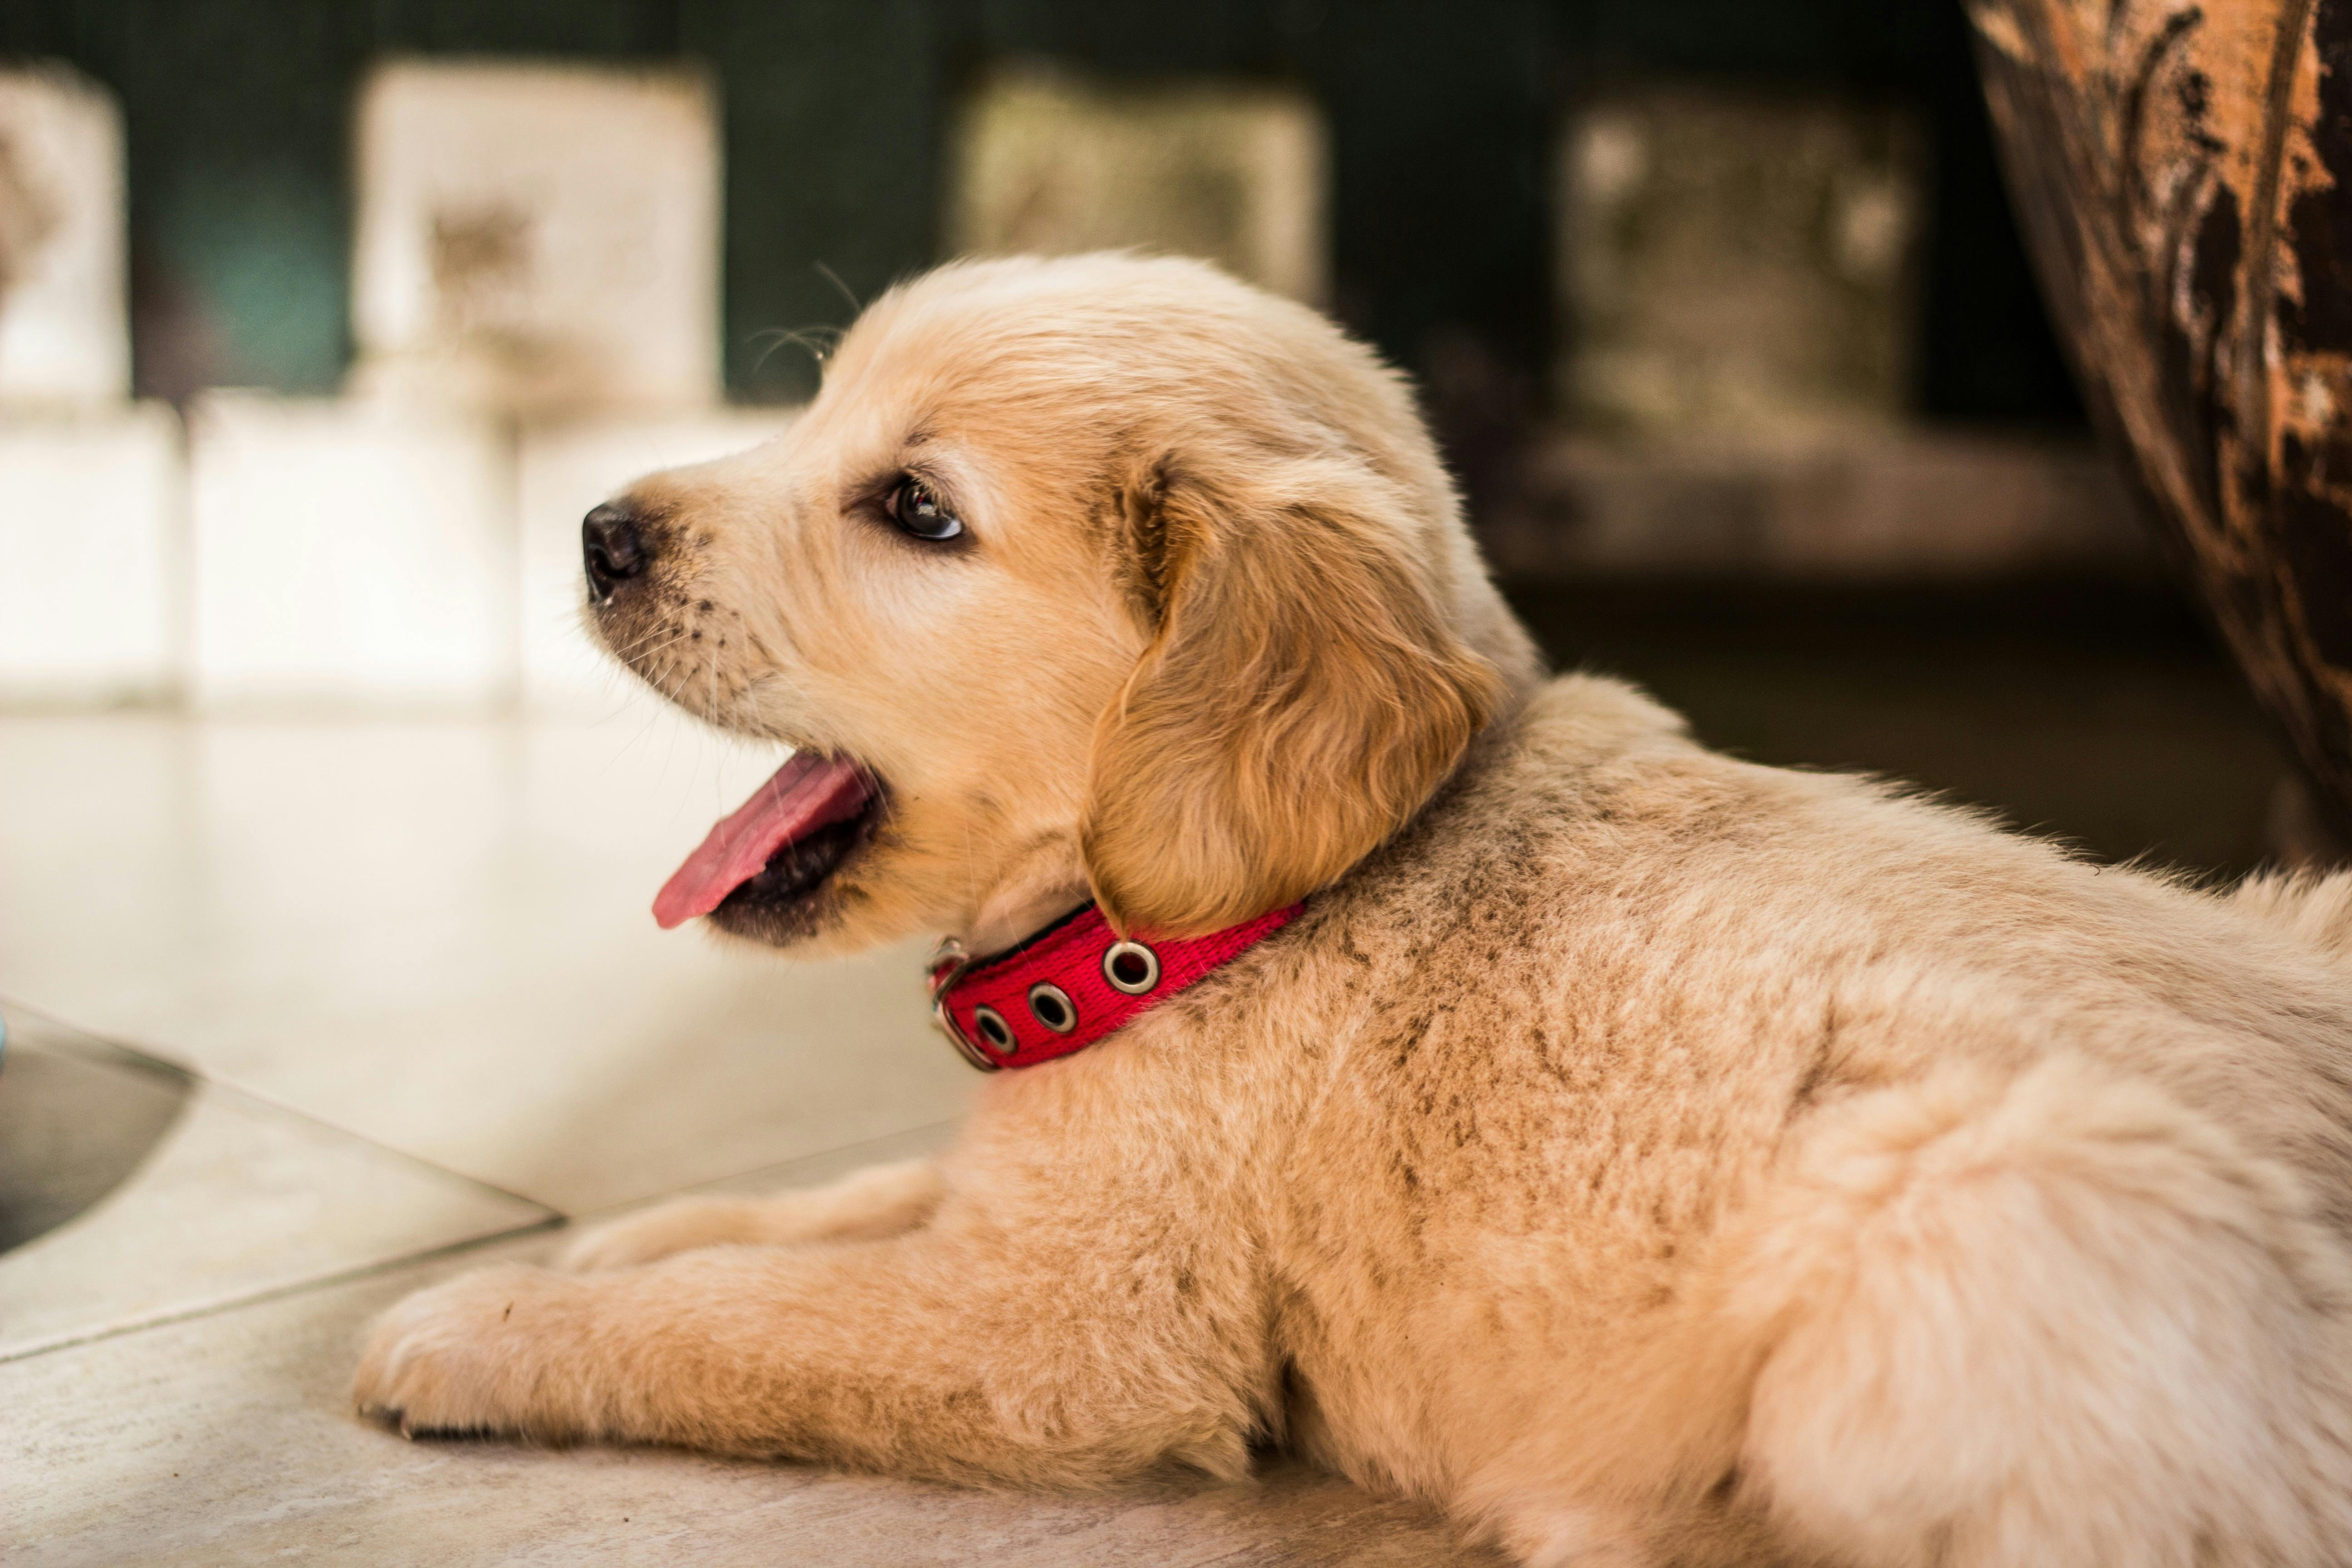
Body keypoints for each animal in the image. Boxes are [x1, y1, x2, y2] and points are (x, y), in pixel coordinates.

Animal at [353, 251, 2352, 1561]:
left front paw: (479, 1324)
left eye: (914, 509)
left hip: (1978, 1190)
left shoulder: (1069, 1330)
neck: (1206, 925)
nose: (598, 532)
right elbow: (831, 1205)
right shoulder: (1033, 1196)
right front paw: (629, 1235)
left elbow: (749, 1324)